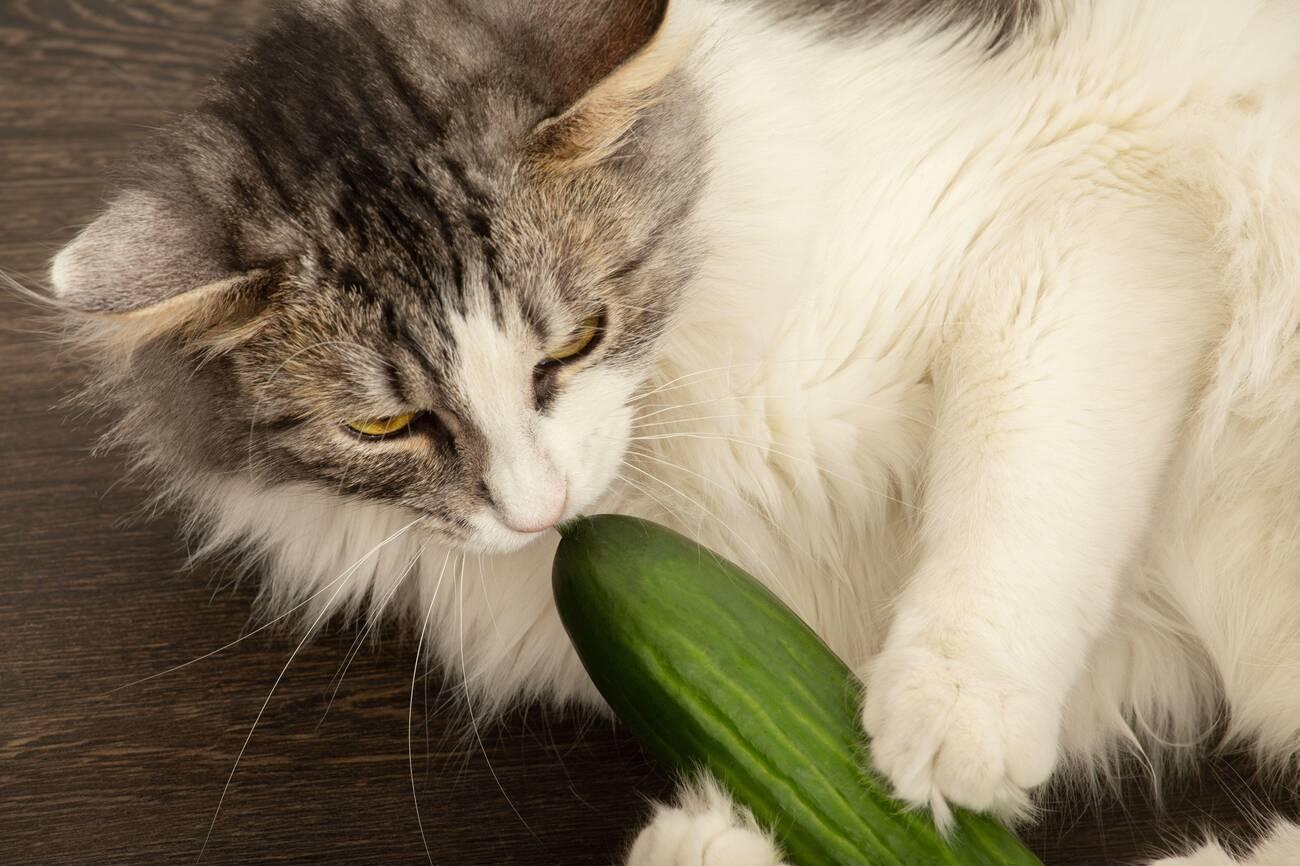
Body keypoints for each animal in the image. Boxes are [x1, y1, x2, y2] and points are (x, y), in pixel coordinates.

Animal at [45, 0, 1300, 858]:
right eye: (386, 422)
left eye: (576, 340)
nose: (541, 509)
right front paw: (716, 829)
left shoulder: (1085, 217)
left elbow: (1015, 499)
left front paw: (949, 725)